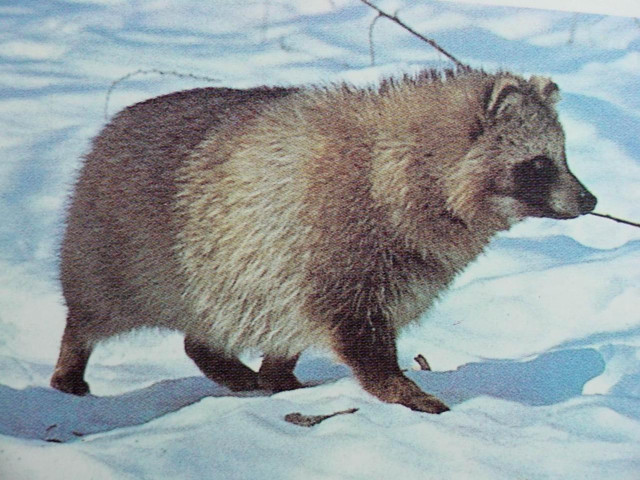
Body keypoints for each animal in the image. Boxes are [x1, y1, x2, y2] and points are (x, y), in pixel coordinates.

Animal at [51, 70, 596, 413]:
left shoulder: (399, 259)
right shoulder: (342, 239)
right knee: (95, 308)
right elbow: (359, 329)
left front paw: (282, 371)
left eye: (563, 155)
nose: (590, 200)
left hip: (234, 268)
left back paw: (252, 368)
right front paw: (396, 386)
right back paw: (72, 359)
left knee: (245, 319)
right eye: (539, 163)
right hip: (129, 248)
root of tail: (111, 127)